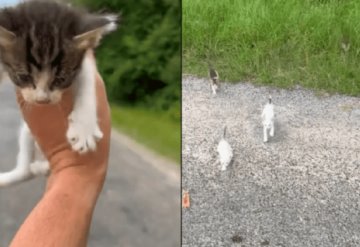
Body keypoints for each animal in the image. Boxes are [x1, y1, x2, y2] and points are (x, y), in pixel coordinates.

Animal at [0, 0, 117, 185]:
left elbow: (87, 80)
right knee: (25, 170)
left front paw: (84, 129)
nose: (42, 100)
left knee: (28, 172)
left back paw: (38, 168)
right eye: (23, 77)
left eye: (61, 79)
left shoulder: (85, 61)